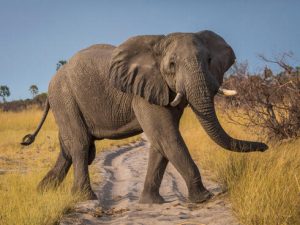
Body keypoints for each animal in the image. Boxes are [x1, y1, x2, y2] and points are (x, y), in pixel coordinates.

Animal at [22, 30, 268, 204]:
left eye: (209, 60)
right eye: (172, 65)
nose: (265, 147)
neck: (160, 44)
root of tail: (53, 81)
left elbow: (160, 142)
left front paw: (152, 202)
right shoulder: (144, 91)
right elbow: (167, 136)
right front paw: (203, 198)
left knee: (69, 149)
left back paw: (41, 192)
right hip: (64, 97)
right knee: (81, 145)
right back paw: (84, 198)